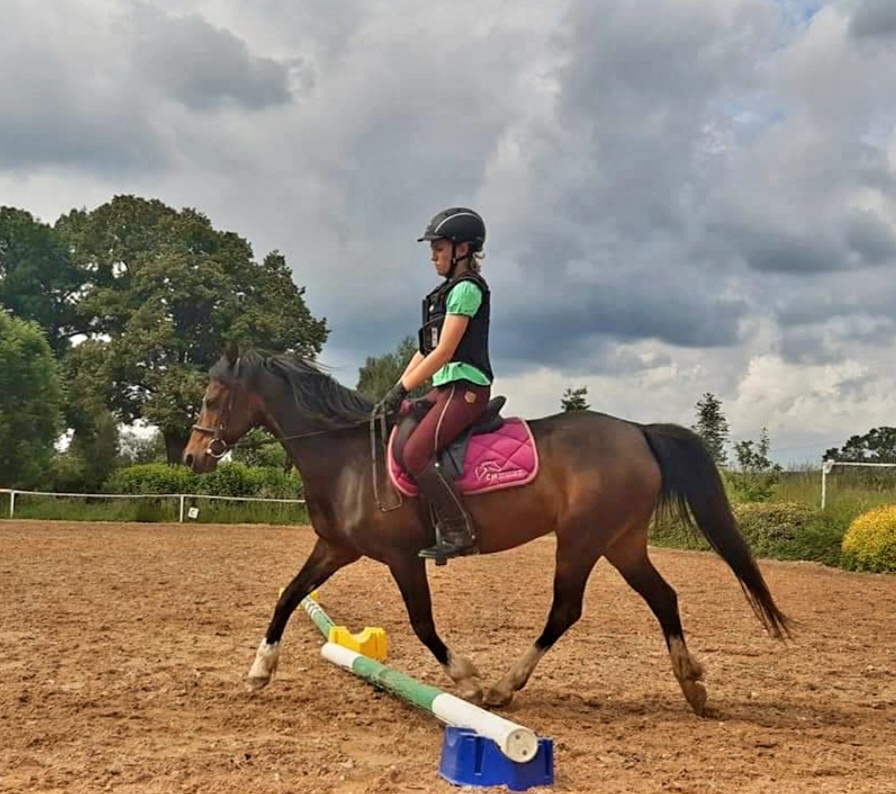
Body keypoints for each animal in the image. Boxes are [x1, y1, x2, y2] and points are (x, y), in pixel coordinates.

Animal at [183, 343, 791, 714]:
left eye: (212, 397)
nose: (191, 457)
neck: (348, 457)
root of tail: (638, 431)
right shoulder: (335, 548)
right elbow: (288, 596)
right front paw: (259, 671)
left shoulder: (402, 557)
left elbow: (423, 623)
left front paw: (469, 680)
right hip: (621, 541)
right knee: (662, 596)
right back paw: (692, 685)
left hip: (582, 539)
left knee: (565, 610)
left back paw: (503, 686)